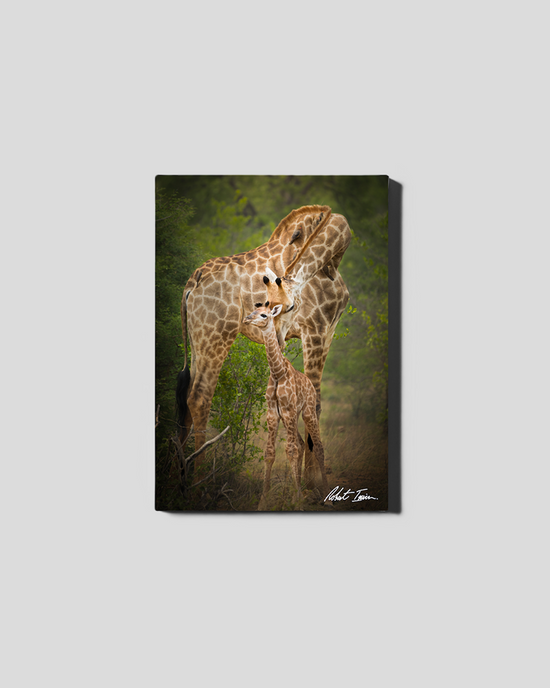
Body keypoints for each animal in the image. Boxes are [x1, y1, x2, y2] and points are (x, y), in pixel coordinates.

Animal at [177, 204, 351, 486]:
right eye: (266, 304)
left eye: (286, 306)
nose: (276, 336)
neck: (333, 263)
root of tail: (193, 281)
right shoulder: (316, 330)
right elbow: (315, 402)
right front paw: (311, 479)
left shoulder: (329, 332)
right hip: (217, 333)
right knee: (200, 397)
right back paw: (198, 481)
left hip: (197, 337)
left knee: (185, 399)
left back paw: (178, 476)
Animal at [242, 304, 329, 510]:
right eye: (253, 311)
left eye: (264, 315)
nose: (247, 319)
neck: (277, 372)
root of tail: (310, 384)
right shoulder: (273, 413)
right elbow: (270, 453)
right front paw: (263, 501)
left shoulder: (288, 412)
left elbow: (291, 451)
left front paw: (298, 502)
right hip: (294, 417)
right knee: (301, 443)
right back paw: (295, 492)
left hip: (307, 412)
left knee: (317, 447)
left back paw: (326, 497)